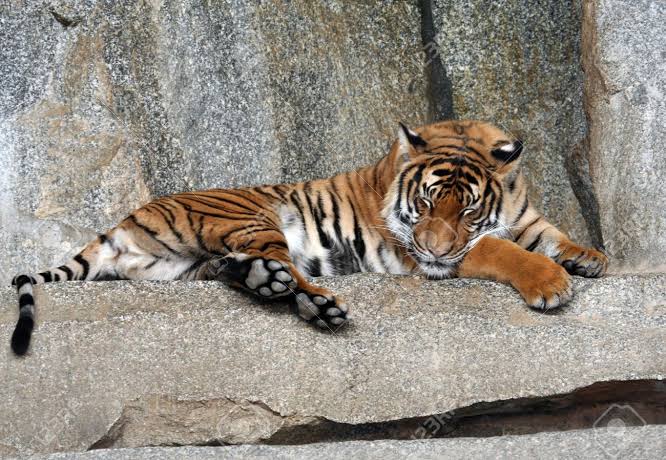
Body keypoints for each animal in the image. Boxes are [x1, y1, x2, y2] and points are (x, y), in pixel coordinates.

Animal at [9, 120, 608, 355]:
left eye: (467, 209)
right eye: (424, 205)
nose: (437, 246)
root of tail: (127, 218)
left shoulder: (521, 214)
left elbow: (544, 233)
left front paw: (588, 258)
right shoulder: (419, 254)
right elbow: (499, 248)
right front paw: (552, 283)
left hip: (186, 268)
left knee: (232, 270)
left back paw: (267, 283)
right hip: (257, 219)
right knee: (290, 275)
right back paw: (319, 305)